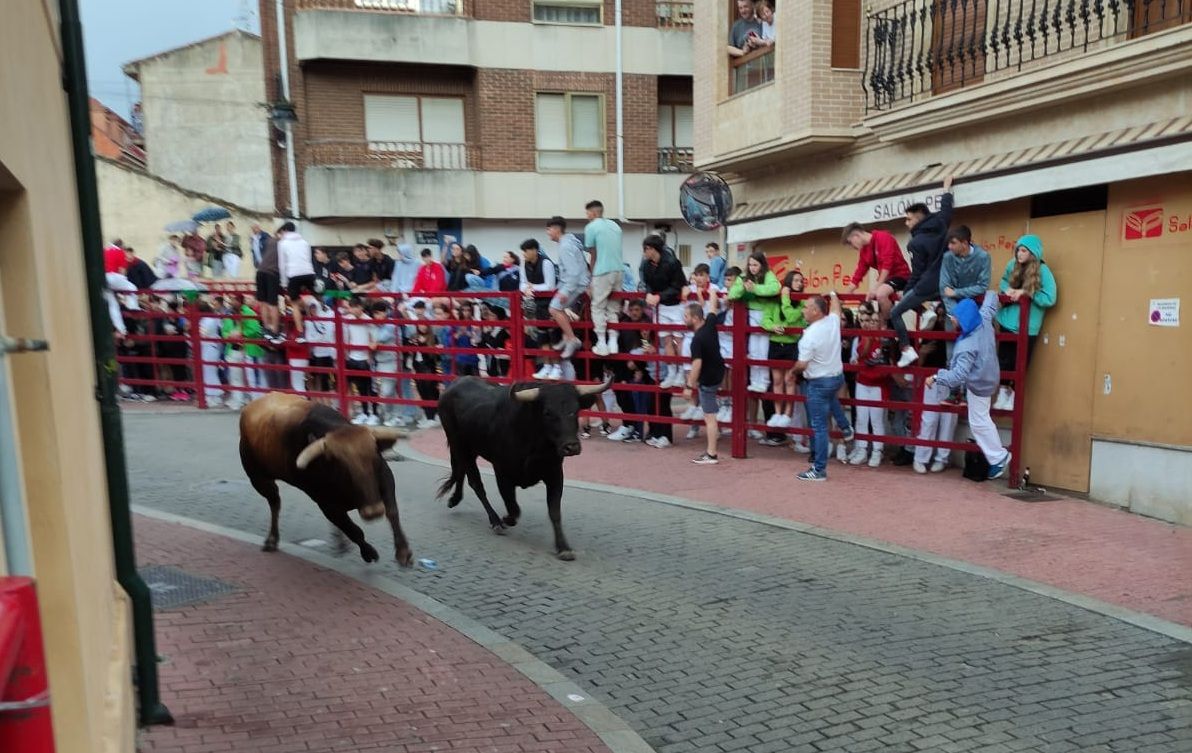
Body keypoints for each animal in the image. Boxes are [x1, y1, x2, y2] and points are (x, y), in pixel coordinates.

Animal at [433, 376, 610, 559]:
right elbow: (514, 509)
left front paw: (563, 547)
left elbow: (554, 512)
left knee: (460, 471)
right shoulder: (502, 473)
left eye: (575, 410)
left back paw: (455, 499)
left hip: (468, 450)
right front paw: (505, 519)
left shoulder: (555, 474)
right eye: (547, 412)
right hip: (460, 445)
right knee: (476, 483)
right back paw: (495, 521)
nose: (571, 447)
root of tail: (454, 385)